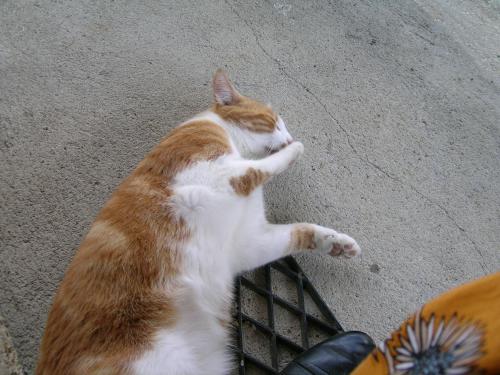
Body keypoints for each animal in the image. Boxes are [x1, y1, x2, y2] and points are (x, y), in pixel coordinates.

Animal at [37, 71, 362, 375]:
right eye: (273, 122)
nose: (290, 136)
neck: (231, 139)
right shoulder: (216, 173)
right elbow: (260, 168)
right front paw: (296, 150)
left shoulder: (249, 243)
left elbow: (300, 231)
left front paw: (337, 244)